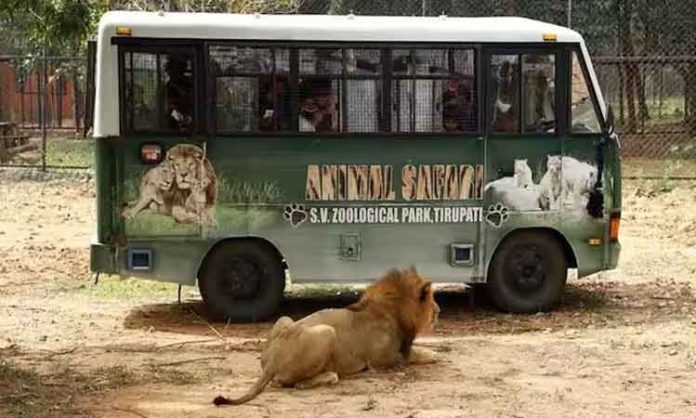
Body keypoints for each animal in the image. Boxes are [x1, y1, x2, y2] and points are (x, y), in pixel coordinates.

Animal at [212, 266, 440, 406]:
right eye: (432, 299)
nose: (438, 310)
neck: (394, 310)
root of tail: (271, 363)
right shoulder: (382, 359)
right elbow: (415, 355)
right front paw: (433, 355)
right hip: (326, 332)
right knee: (289, 382)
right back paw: (329, 376)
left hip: (285, 319)